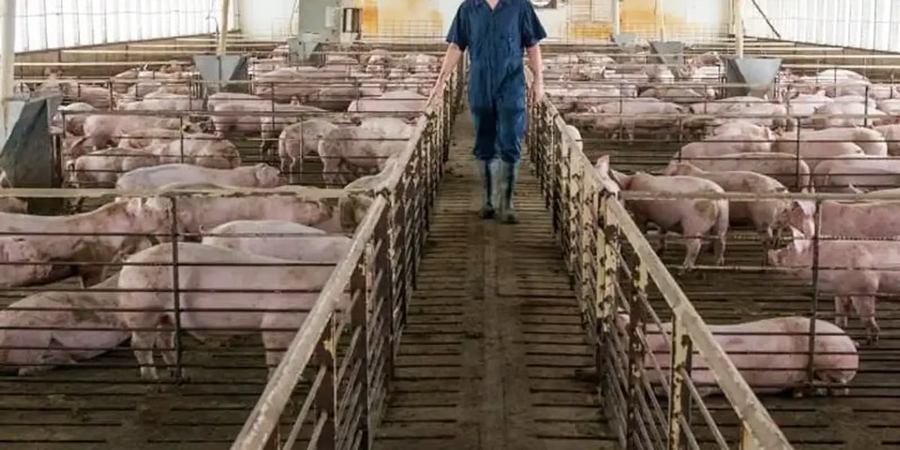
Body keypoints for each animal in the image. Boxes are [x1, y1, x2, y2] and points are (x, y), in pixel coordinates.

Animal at [117, 243, 342, 380]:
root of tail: (129, 262)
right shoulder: (276, 324)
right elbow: (277, 357)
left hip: (168, 315)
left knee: (164, 340)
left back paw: (181, 375)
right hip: (142, 310)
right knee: (140, 344)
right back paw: (154, 380)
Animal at [595, 155, 729, 271]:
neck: (632, 184)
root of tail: (717, 199)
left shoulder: (641, 213)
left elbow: (643, 228)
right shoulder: (662, 218)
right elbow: (661, 231)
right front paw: (659, 250)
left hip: (693, 224)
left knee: (695, 245)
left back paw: (684, 268)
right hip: (722, 221)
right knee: (720, 242)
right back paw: (718, 264)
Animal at [768, 227, 900, 344]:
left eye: (790, 248)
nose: (771, 252)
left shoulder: (864, 287)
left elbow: (866, 314)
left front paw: (871, 339)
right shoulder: (840, 289)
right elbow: (841, 309)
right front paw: (840, 326)